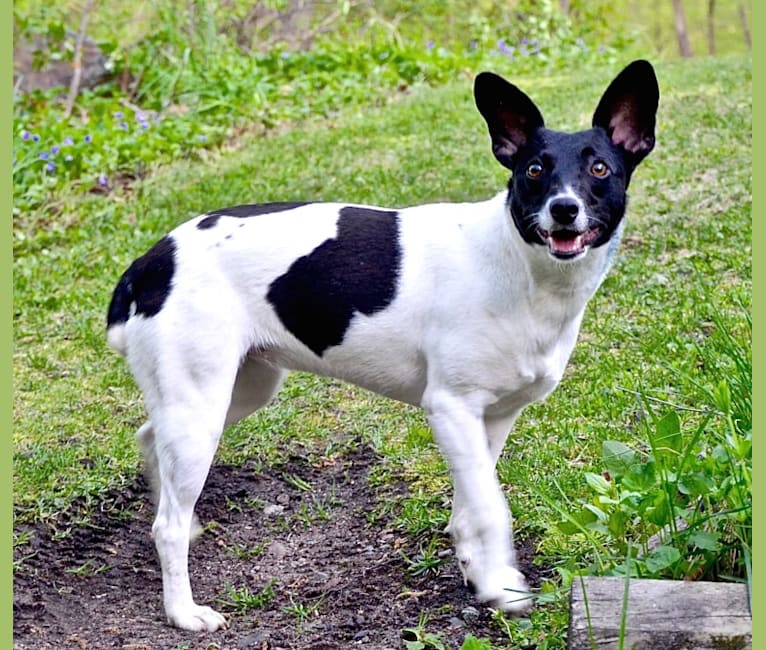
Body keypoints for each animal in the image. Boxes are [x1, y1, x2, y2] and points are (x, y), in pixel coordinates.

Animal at [106, 60, 660, 628]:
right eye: (532, 171)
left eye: (600, 170)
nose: (564, 209)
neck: (517, 264)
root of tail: (149, 263)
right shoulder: (451, 408)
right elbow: (490, 508)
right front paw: (499, 586)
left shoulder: (494, 418)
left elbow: (473, 503)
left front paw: (478, 570)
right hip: (201, 408)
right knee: (166, 524)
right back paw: (183, 610)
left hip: (238, 390)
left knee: (150, 440)